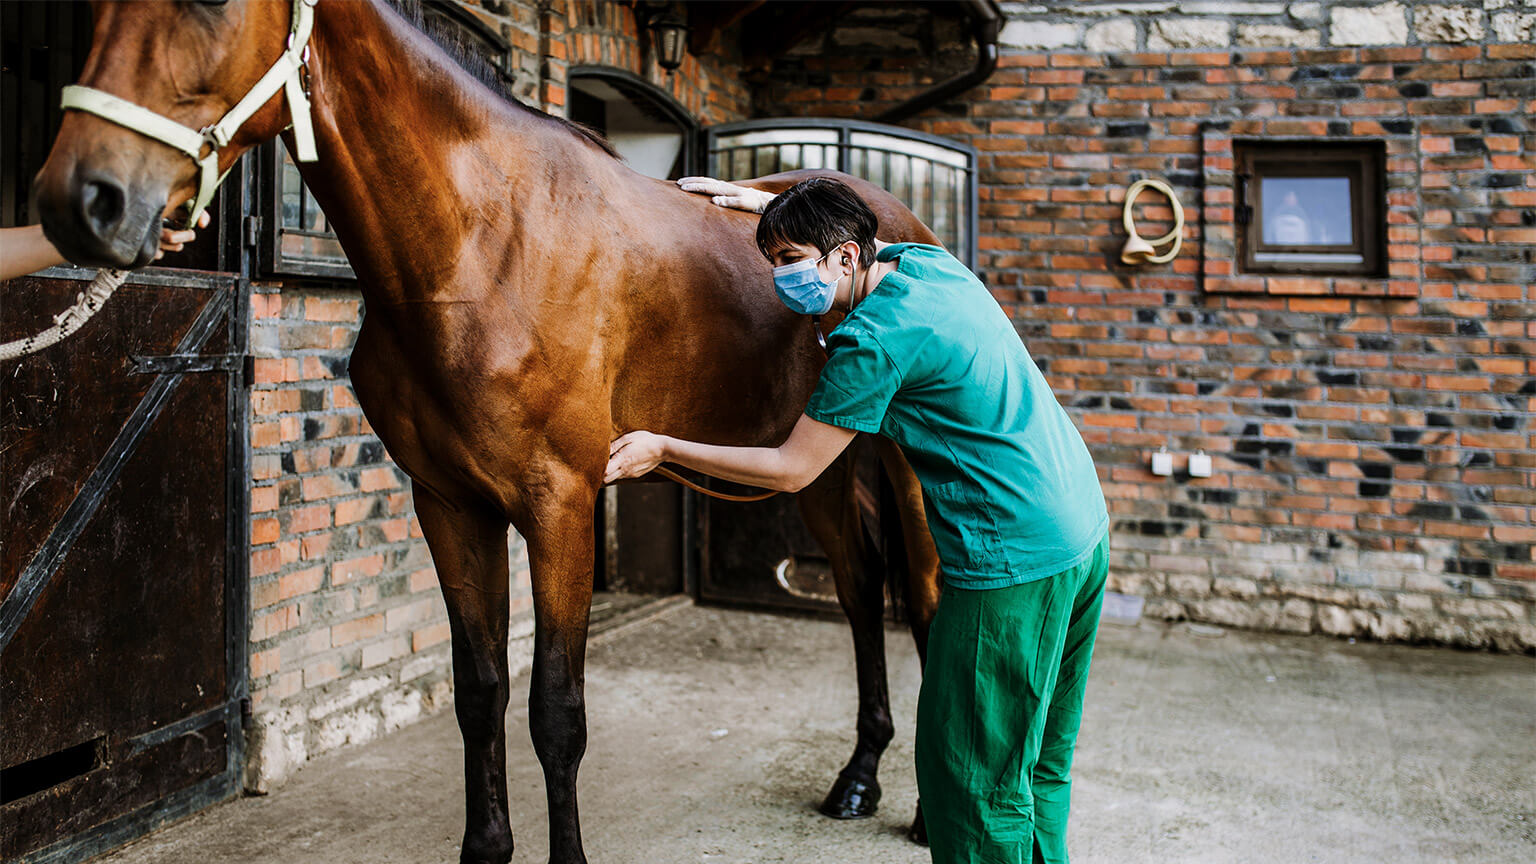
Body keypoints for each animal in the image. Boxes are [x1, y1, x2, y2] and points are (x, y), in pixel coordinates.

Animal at [36, 3, 940, 854]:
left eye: (212, 3)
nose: (82, 198)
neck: (483, 247)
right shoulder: (450, 504)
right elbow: (481, 694)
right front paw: (486, 845)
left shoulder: (561, 506)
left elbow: (557, 713)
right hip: (817, 467)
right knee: (861, 588)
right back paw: (859, 777)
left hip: (910, 469)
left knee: (931, 594)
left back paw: (929, 810)